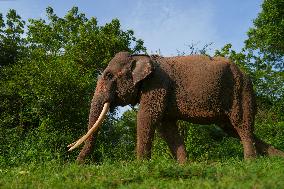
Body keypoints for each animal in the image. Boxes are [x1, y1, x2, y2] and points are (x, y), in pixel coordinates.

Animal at [69, 51, 284, 164]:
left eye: (108, 76)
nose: (76, 165)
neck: (140, 57)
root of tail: (246, 74)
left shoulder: (157, 84)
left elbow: (147, 118)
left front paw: (140, 165)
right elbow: (167, 128)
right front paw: (183, 165)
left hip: (240, 91)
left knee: (241, 124)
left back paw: (250, 162)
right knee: (232, 128)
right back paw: (276, 157)